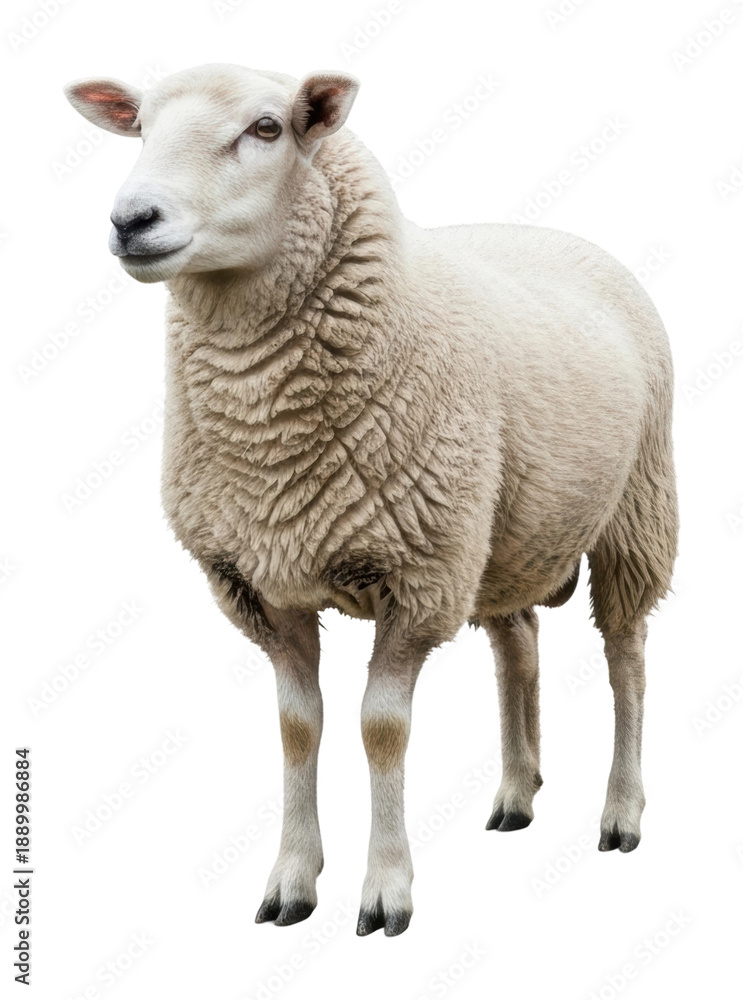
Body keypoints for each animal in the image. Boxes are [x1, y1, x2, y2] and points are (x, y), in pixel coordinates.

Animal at [64, 63, 678, 937]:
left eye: (266, 128)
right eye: (141, 126)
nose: (131, 220)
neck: (269, 440)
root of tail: (553, 234)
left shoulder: (416, 579)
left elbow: (380, 729)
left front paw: (386, 889)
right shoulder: (261, 583)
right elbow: (297, 728)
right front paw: (291, 880)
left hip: (635, 510)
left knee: (625, 658)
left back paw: (620, 812)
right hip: (499, 532)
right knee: (518, 644)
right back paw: (516, 794)